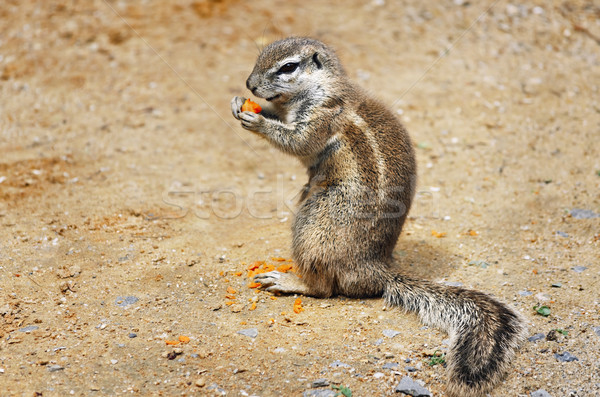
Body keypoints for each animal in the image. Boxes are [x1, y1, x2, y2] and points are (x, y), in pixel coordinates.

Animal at [230, 37, 524, 396]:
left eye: (288, 67)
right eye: (261, 55)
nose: (249, 85)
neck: (321, 87)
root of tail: (375, 270)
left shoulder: (323, 117)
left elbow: (297, 141)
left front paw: (256, 121)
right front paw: (238, 103)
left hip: (313, 225)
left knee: (324, 288)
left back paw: (288, 281)